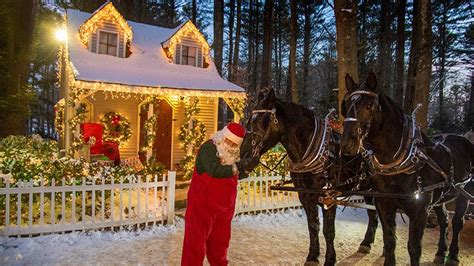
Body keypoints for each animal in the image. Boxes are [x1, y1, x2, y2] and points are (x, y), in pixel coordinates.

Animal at [239, 88, 380, 264]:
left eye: (260, 120)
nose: (242, 156)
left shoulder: (329, 197)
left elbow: (328, 230)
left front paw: (330, 259)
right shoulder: (305, 196)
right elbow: (313, 226)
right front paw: (313, 256)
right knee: (373, 214)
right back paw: (366, 243)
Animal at [338, 71, 472, 264]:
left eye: (369, 105)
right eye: (347, 105)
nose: (346, 145)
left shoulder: (420, 210)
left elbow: (414, 248)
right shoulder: (384, 204)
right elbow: (390, 240)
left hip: (463, 193)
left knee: (457, 223)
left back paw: (453, 256)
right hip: (441, 197)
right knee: (444, 219)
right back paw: (440, 253)